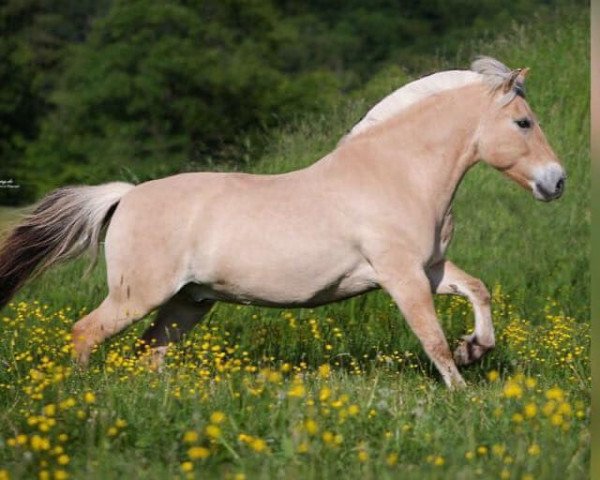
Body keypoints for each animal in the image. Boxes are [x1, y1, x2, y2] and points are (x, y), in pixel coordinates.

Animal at [0, 56, 564, 388]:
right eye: (523, 123)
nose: (557, 182)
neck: (396, 174)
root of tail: (126, 196)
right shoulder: (401, 277)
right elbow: (432, 339)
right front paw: (462, 389)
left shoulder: (429, 269)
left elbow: (478, 291)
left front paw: (476, 350)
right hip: (138, 295)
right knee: (85, 333)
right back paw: (81, 395)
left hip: (188, 302)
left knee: (149, 353)